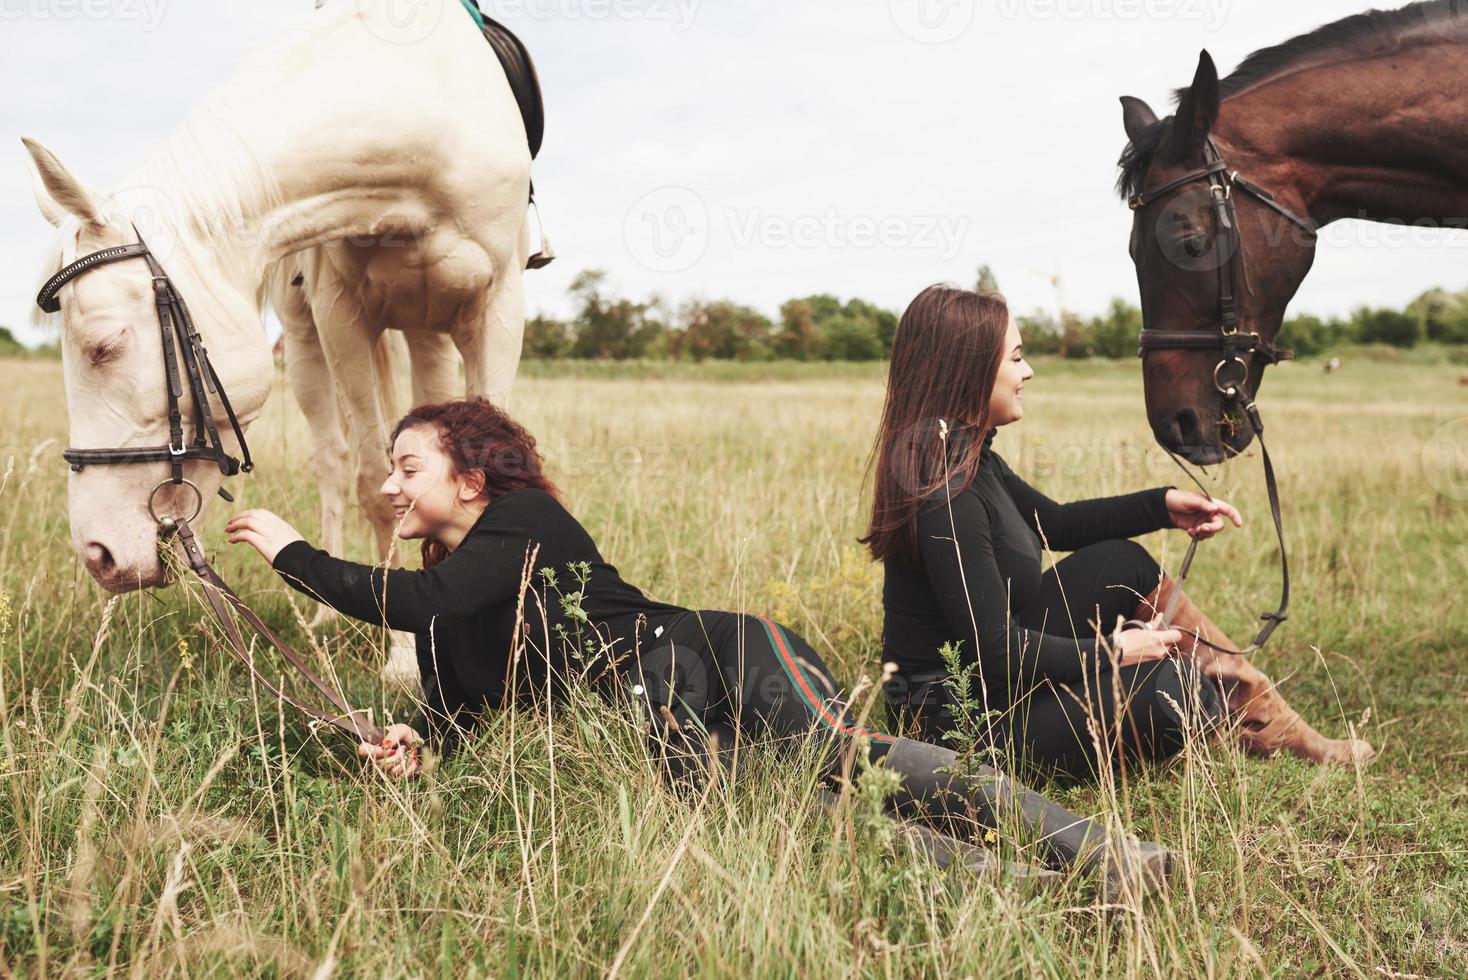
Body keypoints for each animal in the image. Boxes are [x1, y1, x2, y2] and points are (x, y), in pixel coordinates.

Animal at [27, 0, 546, 680]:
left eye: (103, 344)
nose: (97, 552)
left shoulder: (497, 307)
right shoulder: (340, 317)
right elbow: (377, 485)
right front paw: (406, 655)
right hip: (306, 344)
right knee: (334, 462)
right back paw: (328, 615)